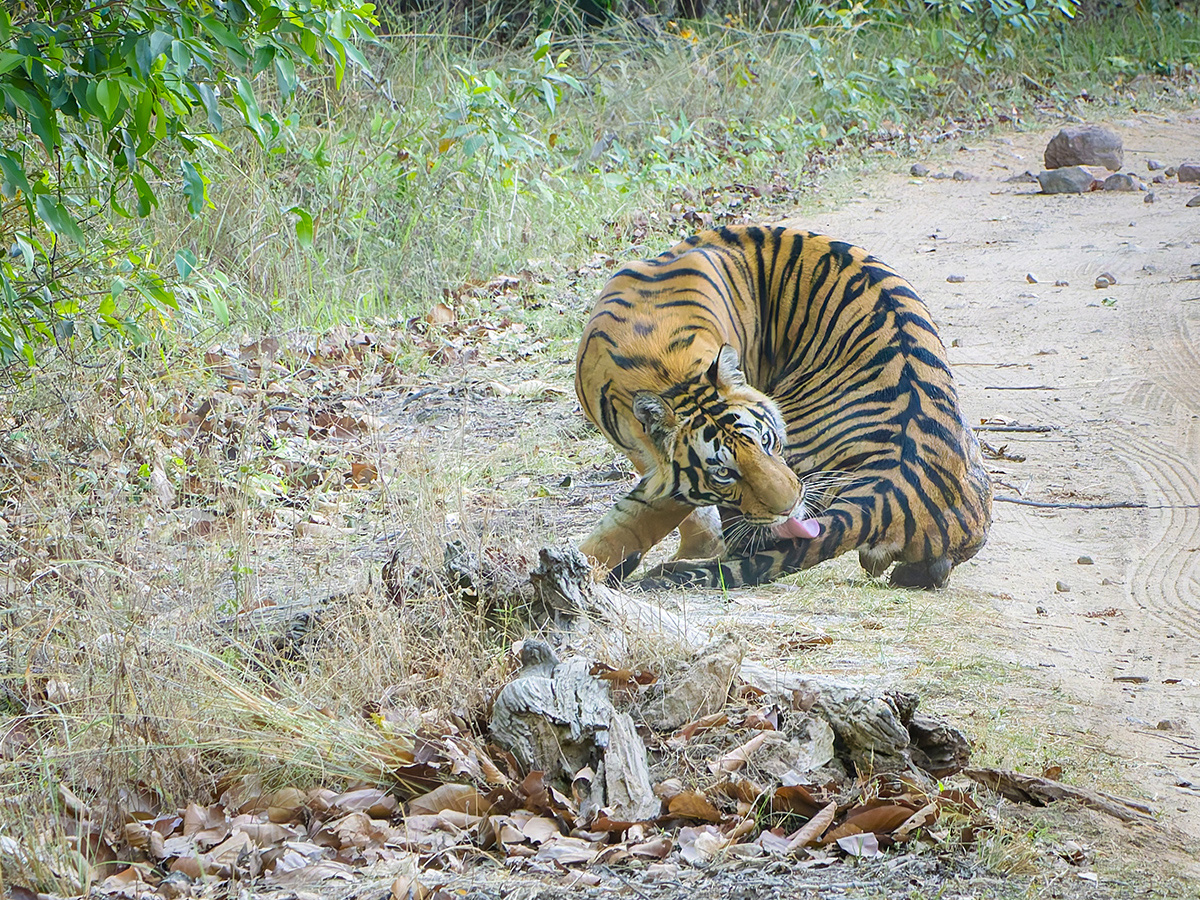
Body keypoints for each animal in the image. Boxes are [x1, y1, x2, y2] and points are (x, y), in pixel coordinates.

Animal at [574, 224, 992, 590]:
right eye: (723, 473)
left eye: (767, 440)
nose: (790, 506)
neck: (666, 369)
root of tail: (891, 489)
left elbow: (637, 520)